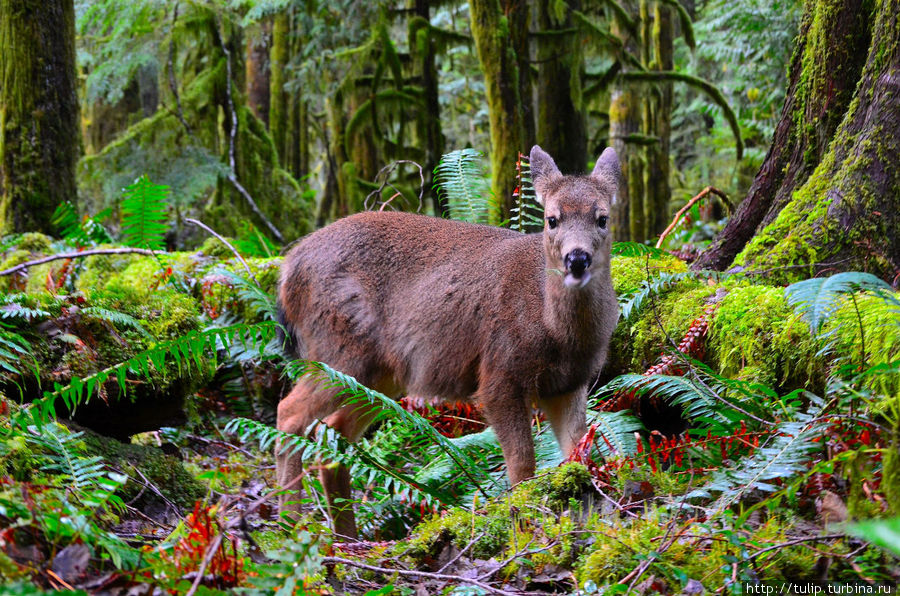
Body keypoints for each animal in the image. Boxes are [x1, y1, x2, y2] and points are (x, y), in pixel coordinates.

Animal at [278, 146, 624, 540]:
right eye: (552, 219)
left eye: (602, 218)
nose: (576, 258)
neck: (556, 331)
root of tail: (287, 270)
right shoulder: (499, 375)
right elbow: (522, 467)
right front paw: (521, 532)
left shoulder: (568, 385)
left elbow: (578, 459)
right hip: (338, 351)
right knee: (289, 413)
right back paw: (286, 528)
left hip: (378, 374)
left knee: (333, 433)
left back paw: (345, 540)